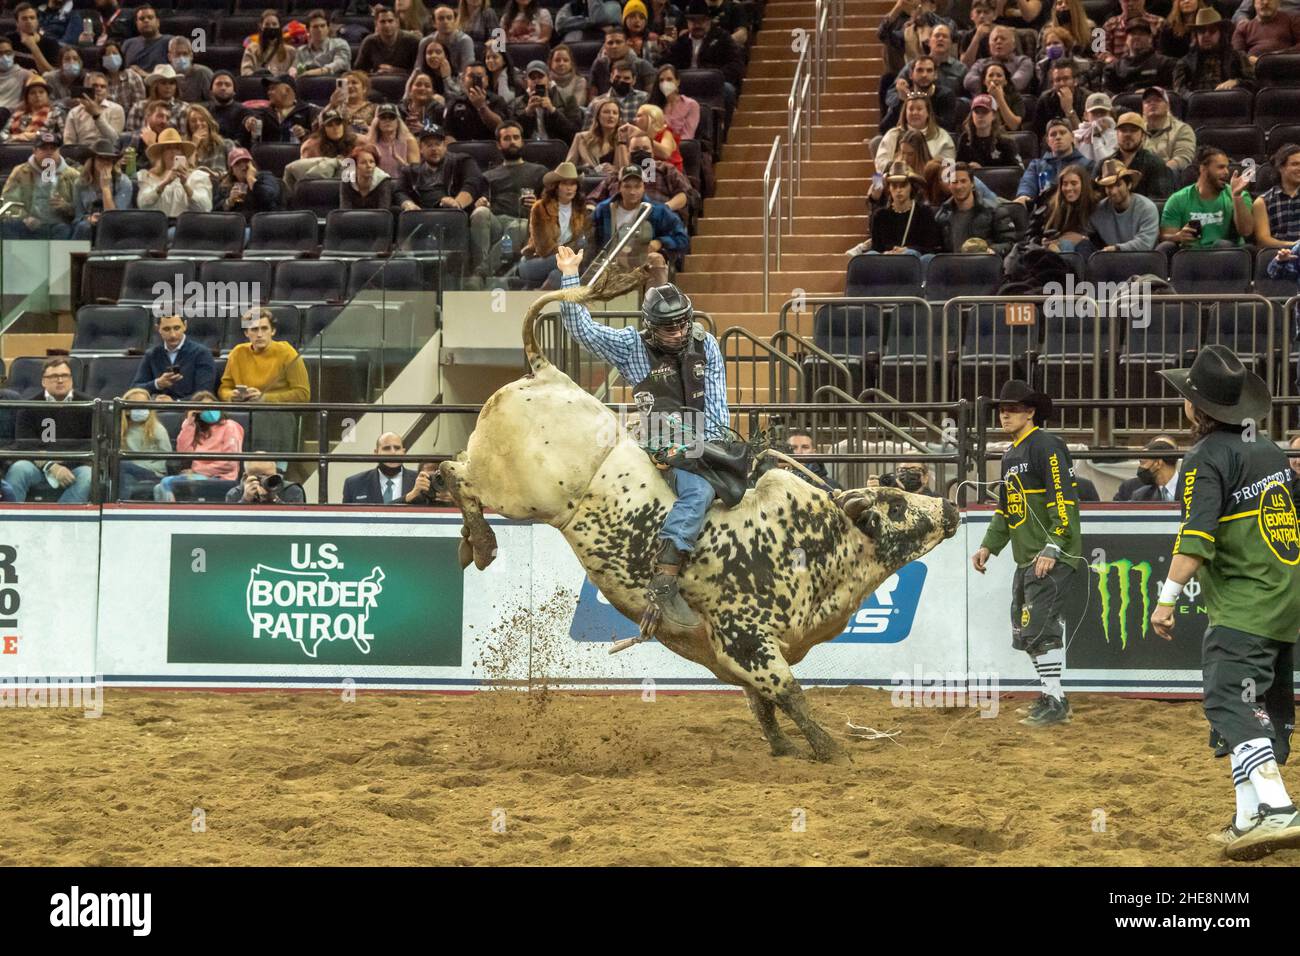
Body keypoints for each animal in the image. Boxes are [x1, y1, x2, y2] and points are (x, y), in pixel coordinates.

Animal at [441, 265, 961, 759]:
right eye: (895, 504)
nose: (951, 506)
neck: (818, 541)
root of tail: (546, 373)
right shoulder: (746, 639)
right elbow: (789, 694)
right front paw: (831, 751)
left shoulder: (731, 654)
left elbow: (763, 705)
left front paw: (785, 748)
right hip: (516, 490)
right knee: (453, 472)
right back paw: (482, 543)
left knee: (456, 470)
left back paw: (470, 543)